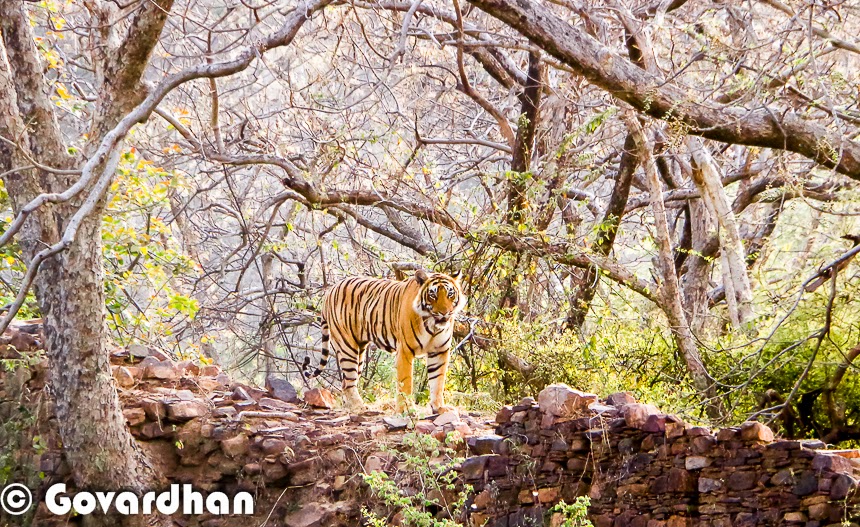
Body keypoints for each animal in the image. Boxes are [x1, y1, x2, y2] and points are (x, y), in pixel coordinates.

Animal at [302, 270, 464, 414]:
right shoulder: (405, 351)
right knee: (348, 382)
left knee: (346, 383)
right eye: (432, 295)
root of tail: (330, 290)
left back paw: (352, 407)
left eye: (450, 294)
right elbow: (406, 382)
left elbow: (438, 382)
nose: (445, 313)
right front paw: (406, 410)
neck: (433, 326)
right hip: (347, 347)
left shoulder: (439, 351)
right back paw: (360, 407)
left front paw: (439, 408)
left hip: (359, 352)